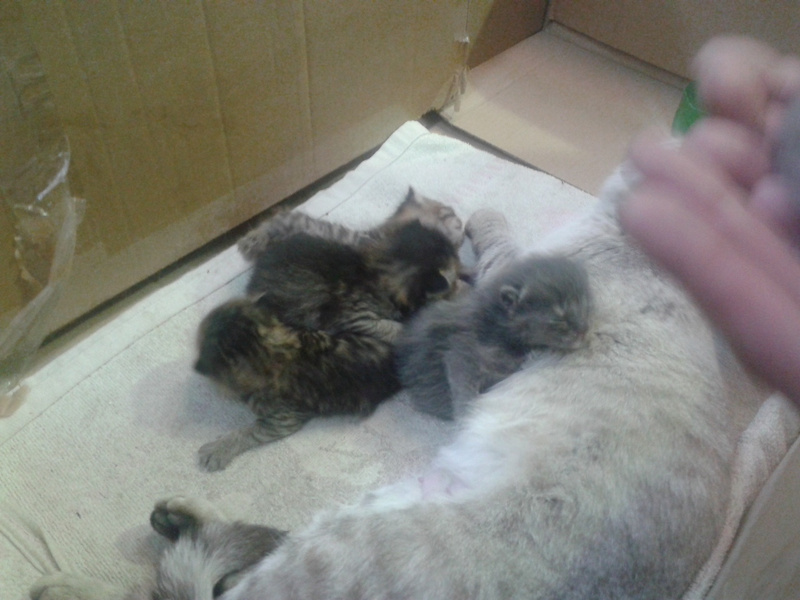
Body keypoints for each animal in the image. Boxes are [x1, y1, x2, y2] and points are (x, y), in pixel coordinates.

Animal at [396, 251, 592, 420]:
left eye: (585, 306)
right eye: (559, 320)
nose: (583, 331)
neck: (496, 329)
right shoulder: (461, 348)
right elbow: (463, 385)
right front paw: (466, 418)